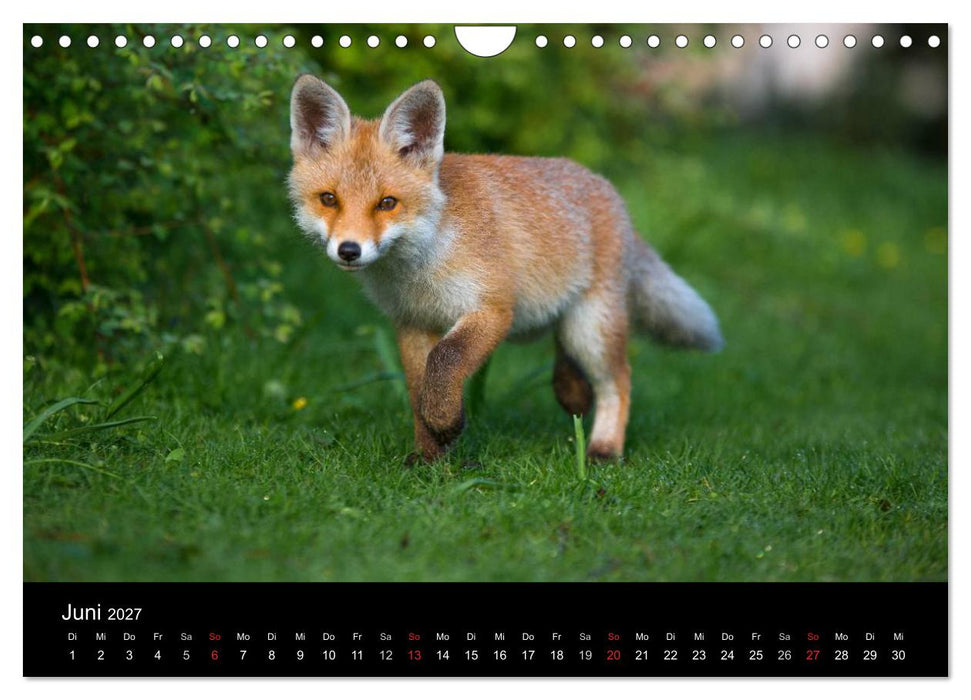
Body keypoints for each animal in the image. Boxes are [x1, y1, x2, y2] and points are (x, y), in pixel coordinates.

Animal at [288, 75, 723, 463]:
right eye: (329, 199)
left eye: (387, 203)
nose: (349, 250)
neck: (420, 266)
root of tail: (608, 190)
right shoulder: (412, 322)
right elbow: (418, 391)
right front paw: (430, 457)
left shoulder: (493, 308)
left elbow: (445, 361)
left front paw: (446, 423)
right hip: (565, 320)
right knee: (566, 352)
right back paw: (571, 389)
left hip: (592, 327)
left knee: (618, 382)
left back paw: (604, 449)